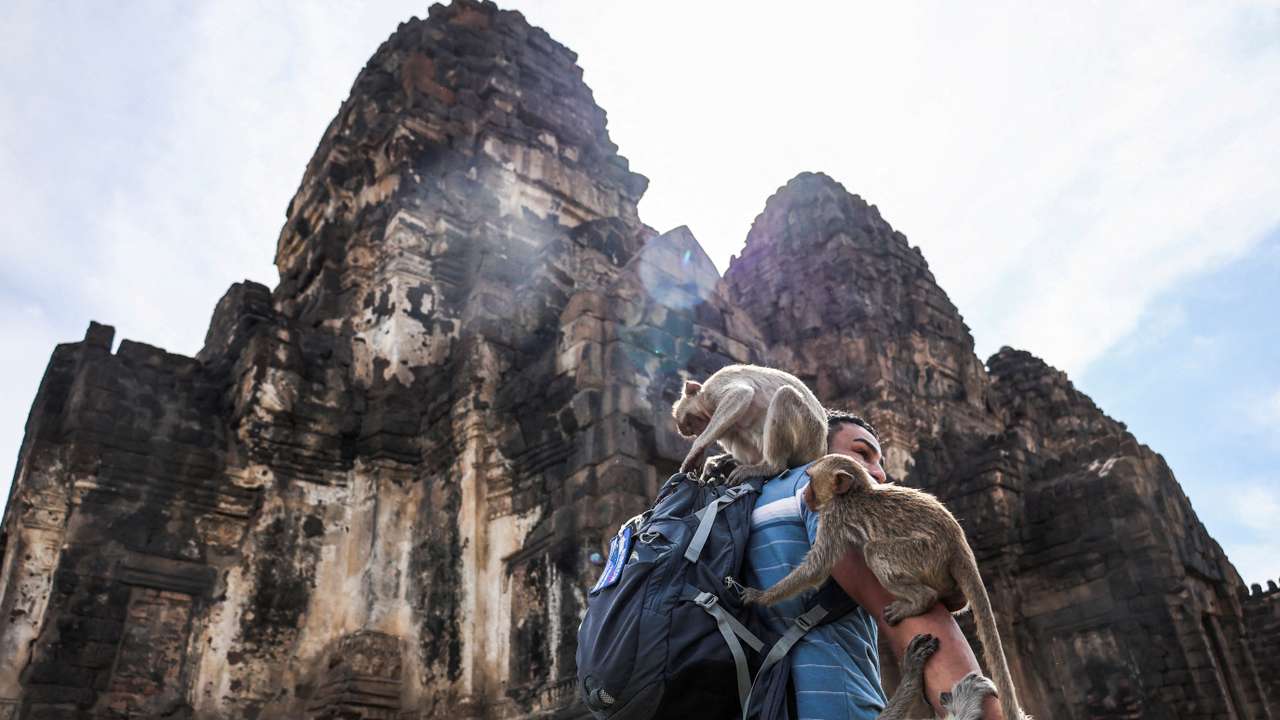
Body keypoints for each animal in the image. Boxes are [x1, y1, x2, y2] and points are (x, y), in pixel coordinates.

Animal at [671, 364, 827, 484]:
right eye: (692, 429)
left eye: (691, 422)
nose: (699, 431)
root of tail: (821, 452)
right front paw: (714, 462)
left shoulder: (714, 387)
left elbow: (740, 394)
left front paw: (695, 451)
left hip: (811, 436)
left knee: (784, 395)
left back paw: (771, 467)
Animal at [741, 454, 1031, 720]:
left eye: (811, 480)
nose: (805, 496)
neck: (857, 491)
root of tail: (956, 541)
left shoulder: (833, 515)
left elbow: (817, 568)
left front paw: (760, 597)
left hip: (923, 553)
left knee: (874, 552)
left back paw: (920, 600)